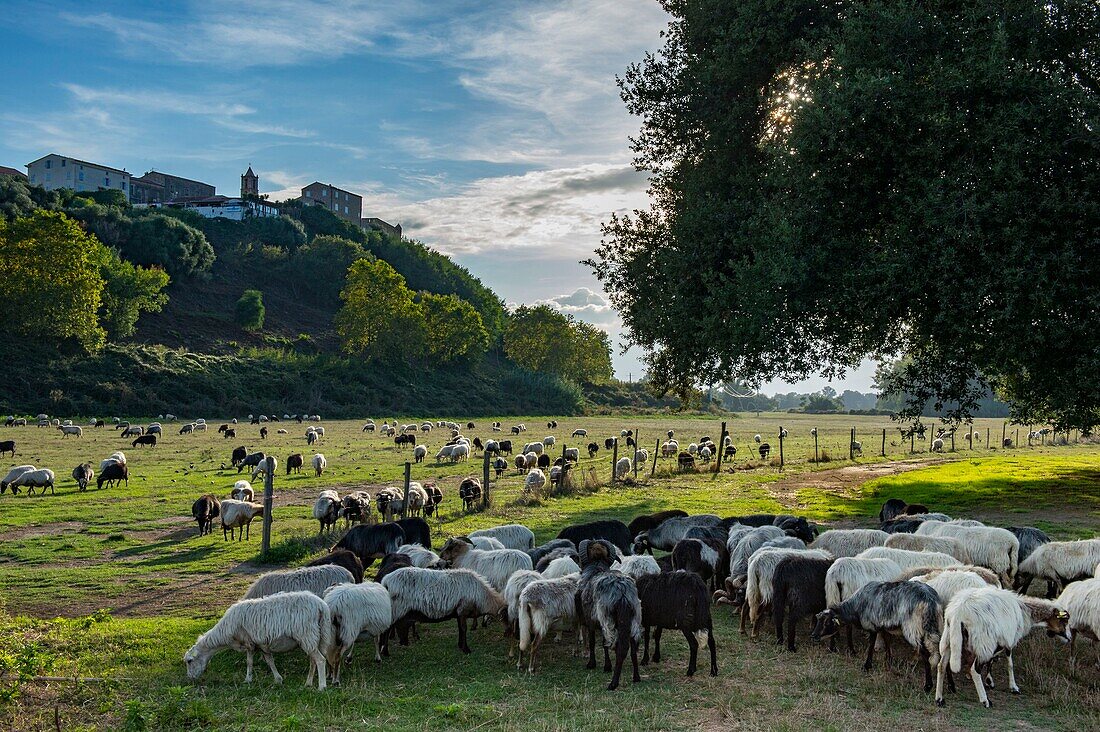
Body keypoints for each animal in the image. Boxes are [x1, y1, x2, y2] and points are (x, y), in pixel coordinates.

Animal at [183, 590, 330, 686]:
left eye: (189, 661)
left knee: (320, 660)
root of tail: (321, 606)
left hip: (307, 635)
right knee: (313, 661)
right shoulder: (262, 644)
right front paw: (278, 679)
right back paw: (308, 683)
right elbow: (269, 661)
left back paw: (321, 686)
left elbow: (249, 662)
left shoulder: (249, 642)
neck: (226, 632)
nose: (190, 679)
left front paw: (248, 680)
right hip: (317, 636)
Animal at [576, 537, 642, 691]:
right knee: (632, 647)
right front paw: (606, 666)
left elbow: (595, 642)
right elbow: (603, 644)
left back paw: (613, 683)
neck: (596, 568)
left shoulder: (592, 620)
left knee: (619, 647)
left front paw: (594, 664)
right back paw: (636, 677)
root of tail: (623, 593)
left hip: (608, 620)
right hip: (633, 619)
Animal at [932, 585, 1069, 704]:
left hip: (949, 639)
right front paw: (1013, 687)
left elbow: (992, 660)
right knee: (974, 670)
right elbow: (1009, 663)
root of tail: (958, 612)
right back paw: (985, 700)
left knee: (941, 666)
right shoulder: (1007, 639)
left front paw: (989, 681)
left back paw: (939, 698)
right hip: (983, 641)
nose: (1069, 638)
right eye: (1064, 621)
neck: (1025, 612)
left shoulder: (998, 640)